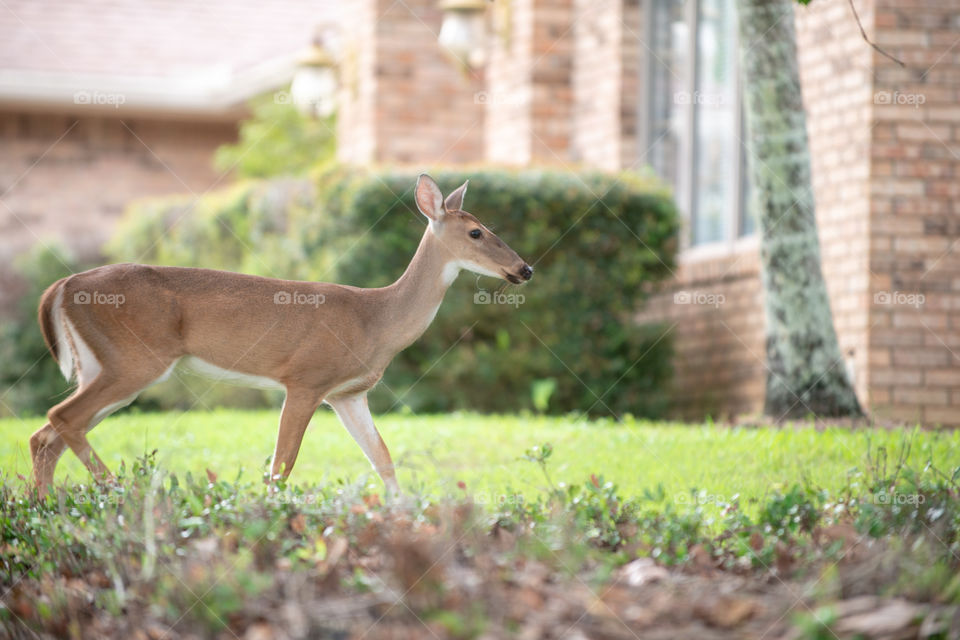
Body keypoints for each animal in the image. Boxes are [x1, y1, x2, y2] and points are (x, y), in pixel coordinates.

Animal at [30, 174, 533, 496]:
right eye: (477, 232)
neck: (376, 319)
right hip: (135, 358)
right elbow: (281, 466)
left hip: (100, 364)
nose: (525, 268)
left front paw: (405, 518)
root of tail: (63, 285)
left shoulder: (348, 393)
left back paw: (45, 508)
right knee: (62, 417)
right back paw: (114, 491)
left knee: (46, 434)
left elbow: (382, 458)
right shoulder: (306, 378)